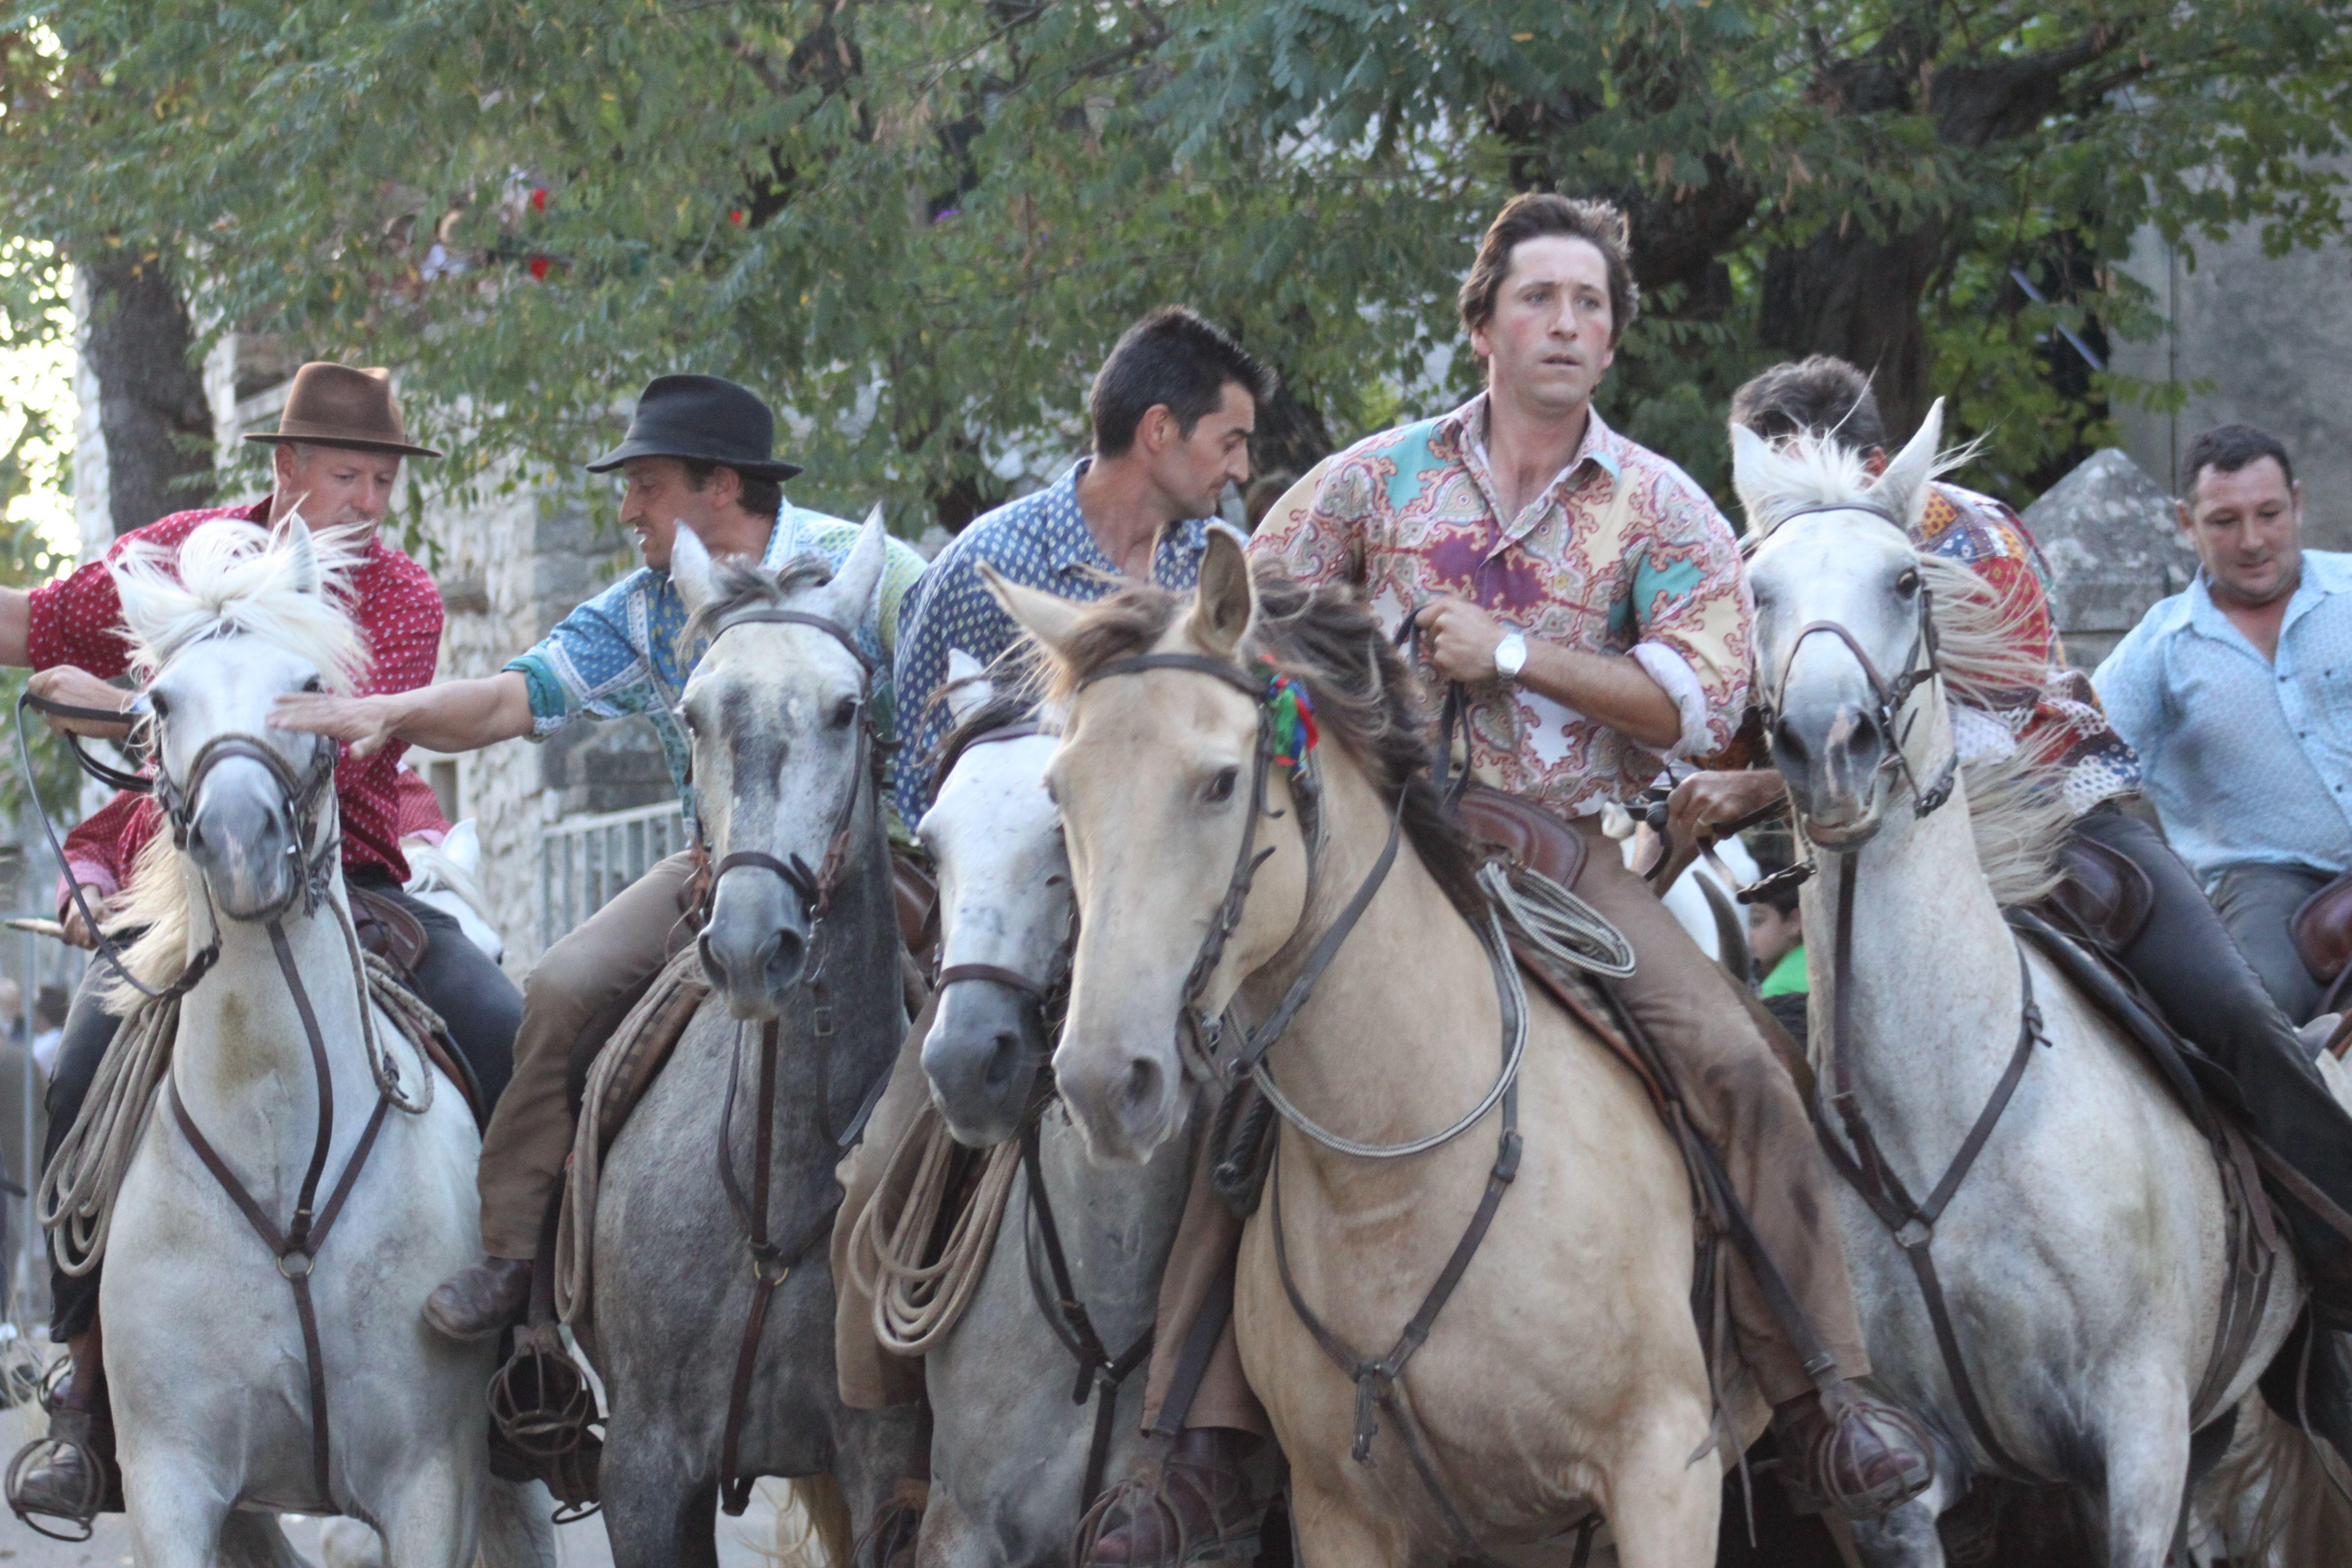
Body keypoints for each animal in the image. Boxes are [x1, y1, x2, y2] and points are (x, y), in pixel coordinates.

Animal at [989, 539, 1741, 1567]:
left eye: (1219, 781)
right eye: (1058, 790)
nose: (1106, 1083)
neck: (1400, 1174)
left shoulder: (1665, 1469)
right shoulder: (1339, 1512)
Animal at [1735, 406, 2340, 1566]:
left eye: (1904, 582)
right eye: (1758, 589)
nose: (1826, 746)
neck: (1941, 1108)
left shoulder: (2140, 1440)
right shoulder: (1904, 1482)